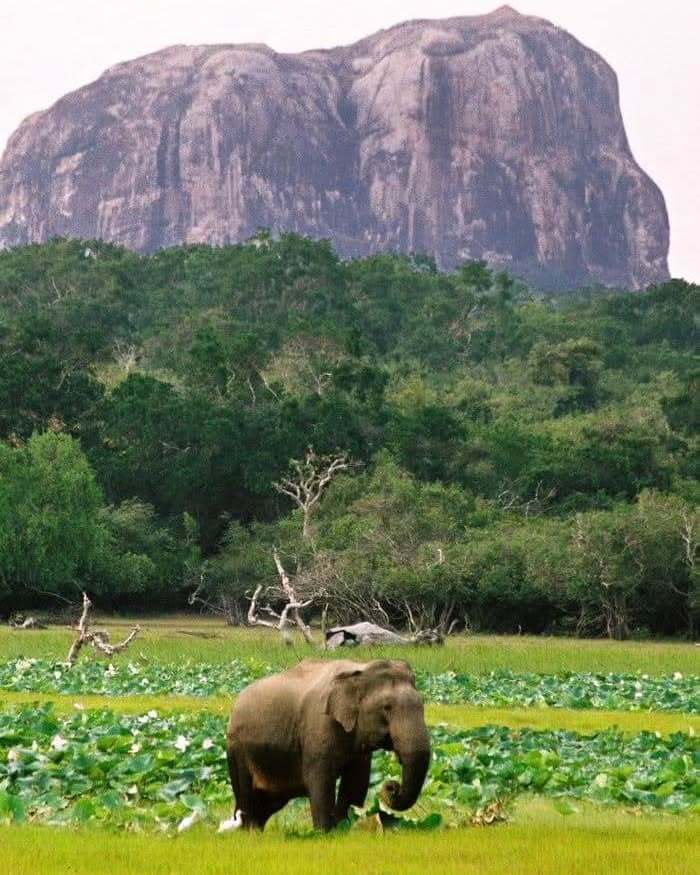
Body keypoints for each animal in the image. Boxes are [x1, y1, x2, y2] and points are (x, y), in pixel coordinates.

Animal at [225, 658, 431, 831]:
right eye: (386, 707)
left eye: (422, 705)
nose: (392, 786)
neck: (360, 668)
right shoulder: (318, 727)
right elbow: (320, 780)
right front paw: (324, 833)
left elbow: (357, 782)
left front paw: (344, 828)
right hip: (237, 749)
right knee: (247, 795)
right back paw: (248, 833)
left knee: (267, 802)